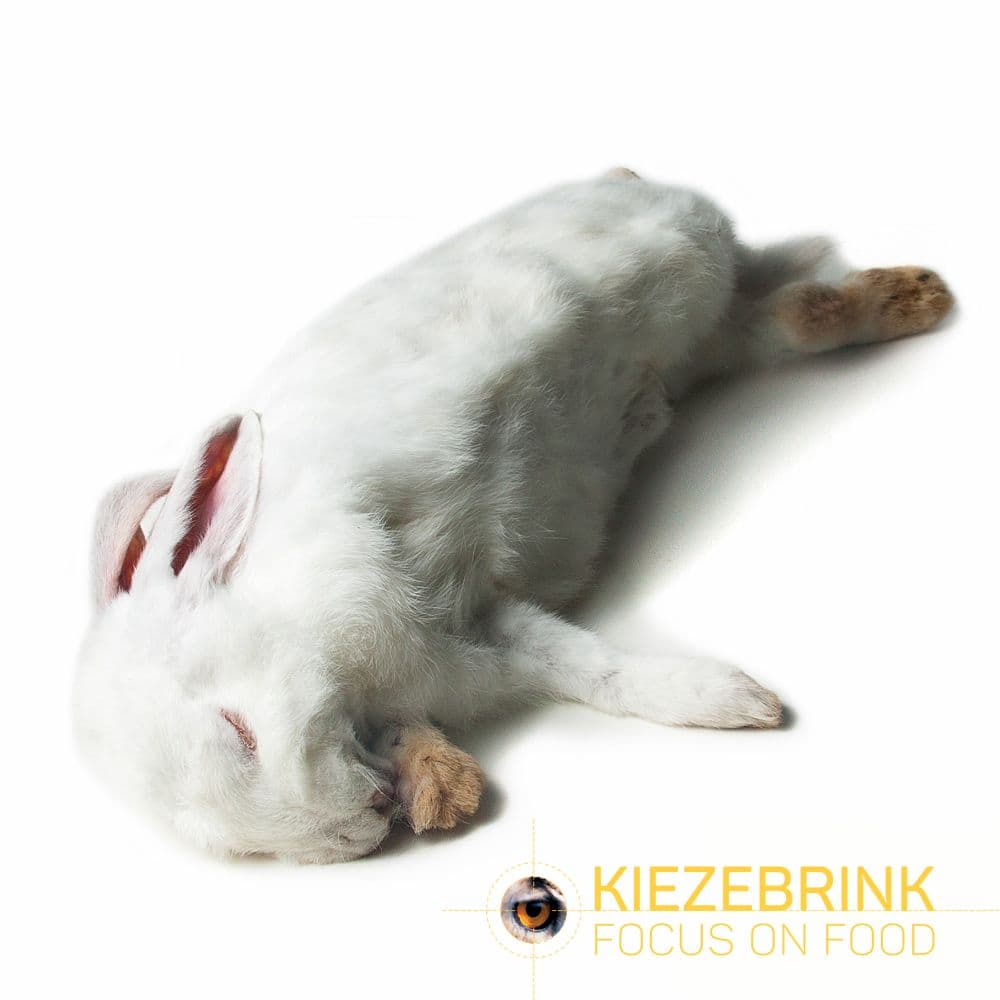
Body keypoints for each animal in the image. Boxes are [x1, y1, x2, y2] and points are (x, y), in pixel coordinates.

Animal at [73, 168, 954, 863]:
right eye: (218, 838)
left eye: (239, 730)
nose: (367, 823)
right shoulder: (475, 643)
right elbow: (566, 673)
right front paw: (443, 787)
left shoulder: (437, 610)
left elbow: (598, 668)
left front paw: (742, 703)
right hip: (715, 339)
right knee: (781, 321)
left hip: (689, 265)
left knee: (794, 299)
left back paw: (922, 296)